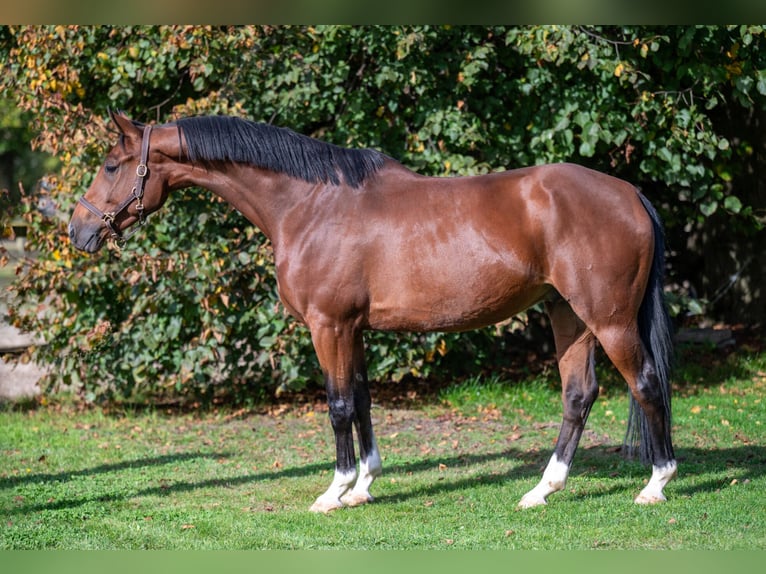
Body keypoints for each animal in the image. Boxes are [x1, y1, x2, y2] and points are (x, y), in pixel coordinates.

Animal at [67, 111, 680, 512]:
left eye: (112, 164)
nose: (77, 230)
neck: (309, 204)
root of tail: (628, 193)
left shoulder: (329, 326)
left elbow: (338, 405)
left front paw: (333, 491)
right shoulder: (352, 329)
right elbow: (361, 400)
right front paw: (363, 485)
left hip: (608, 319)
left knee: (647, 383)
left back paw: (656, 484)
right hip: (567, 315)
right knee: (579, 394)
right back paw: (540, 491)